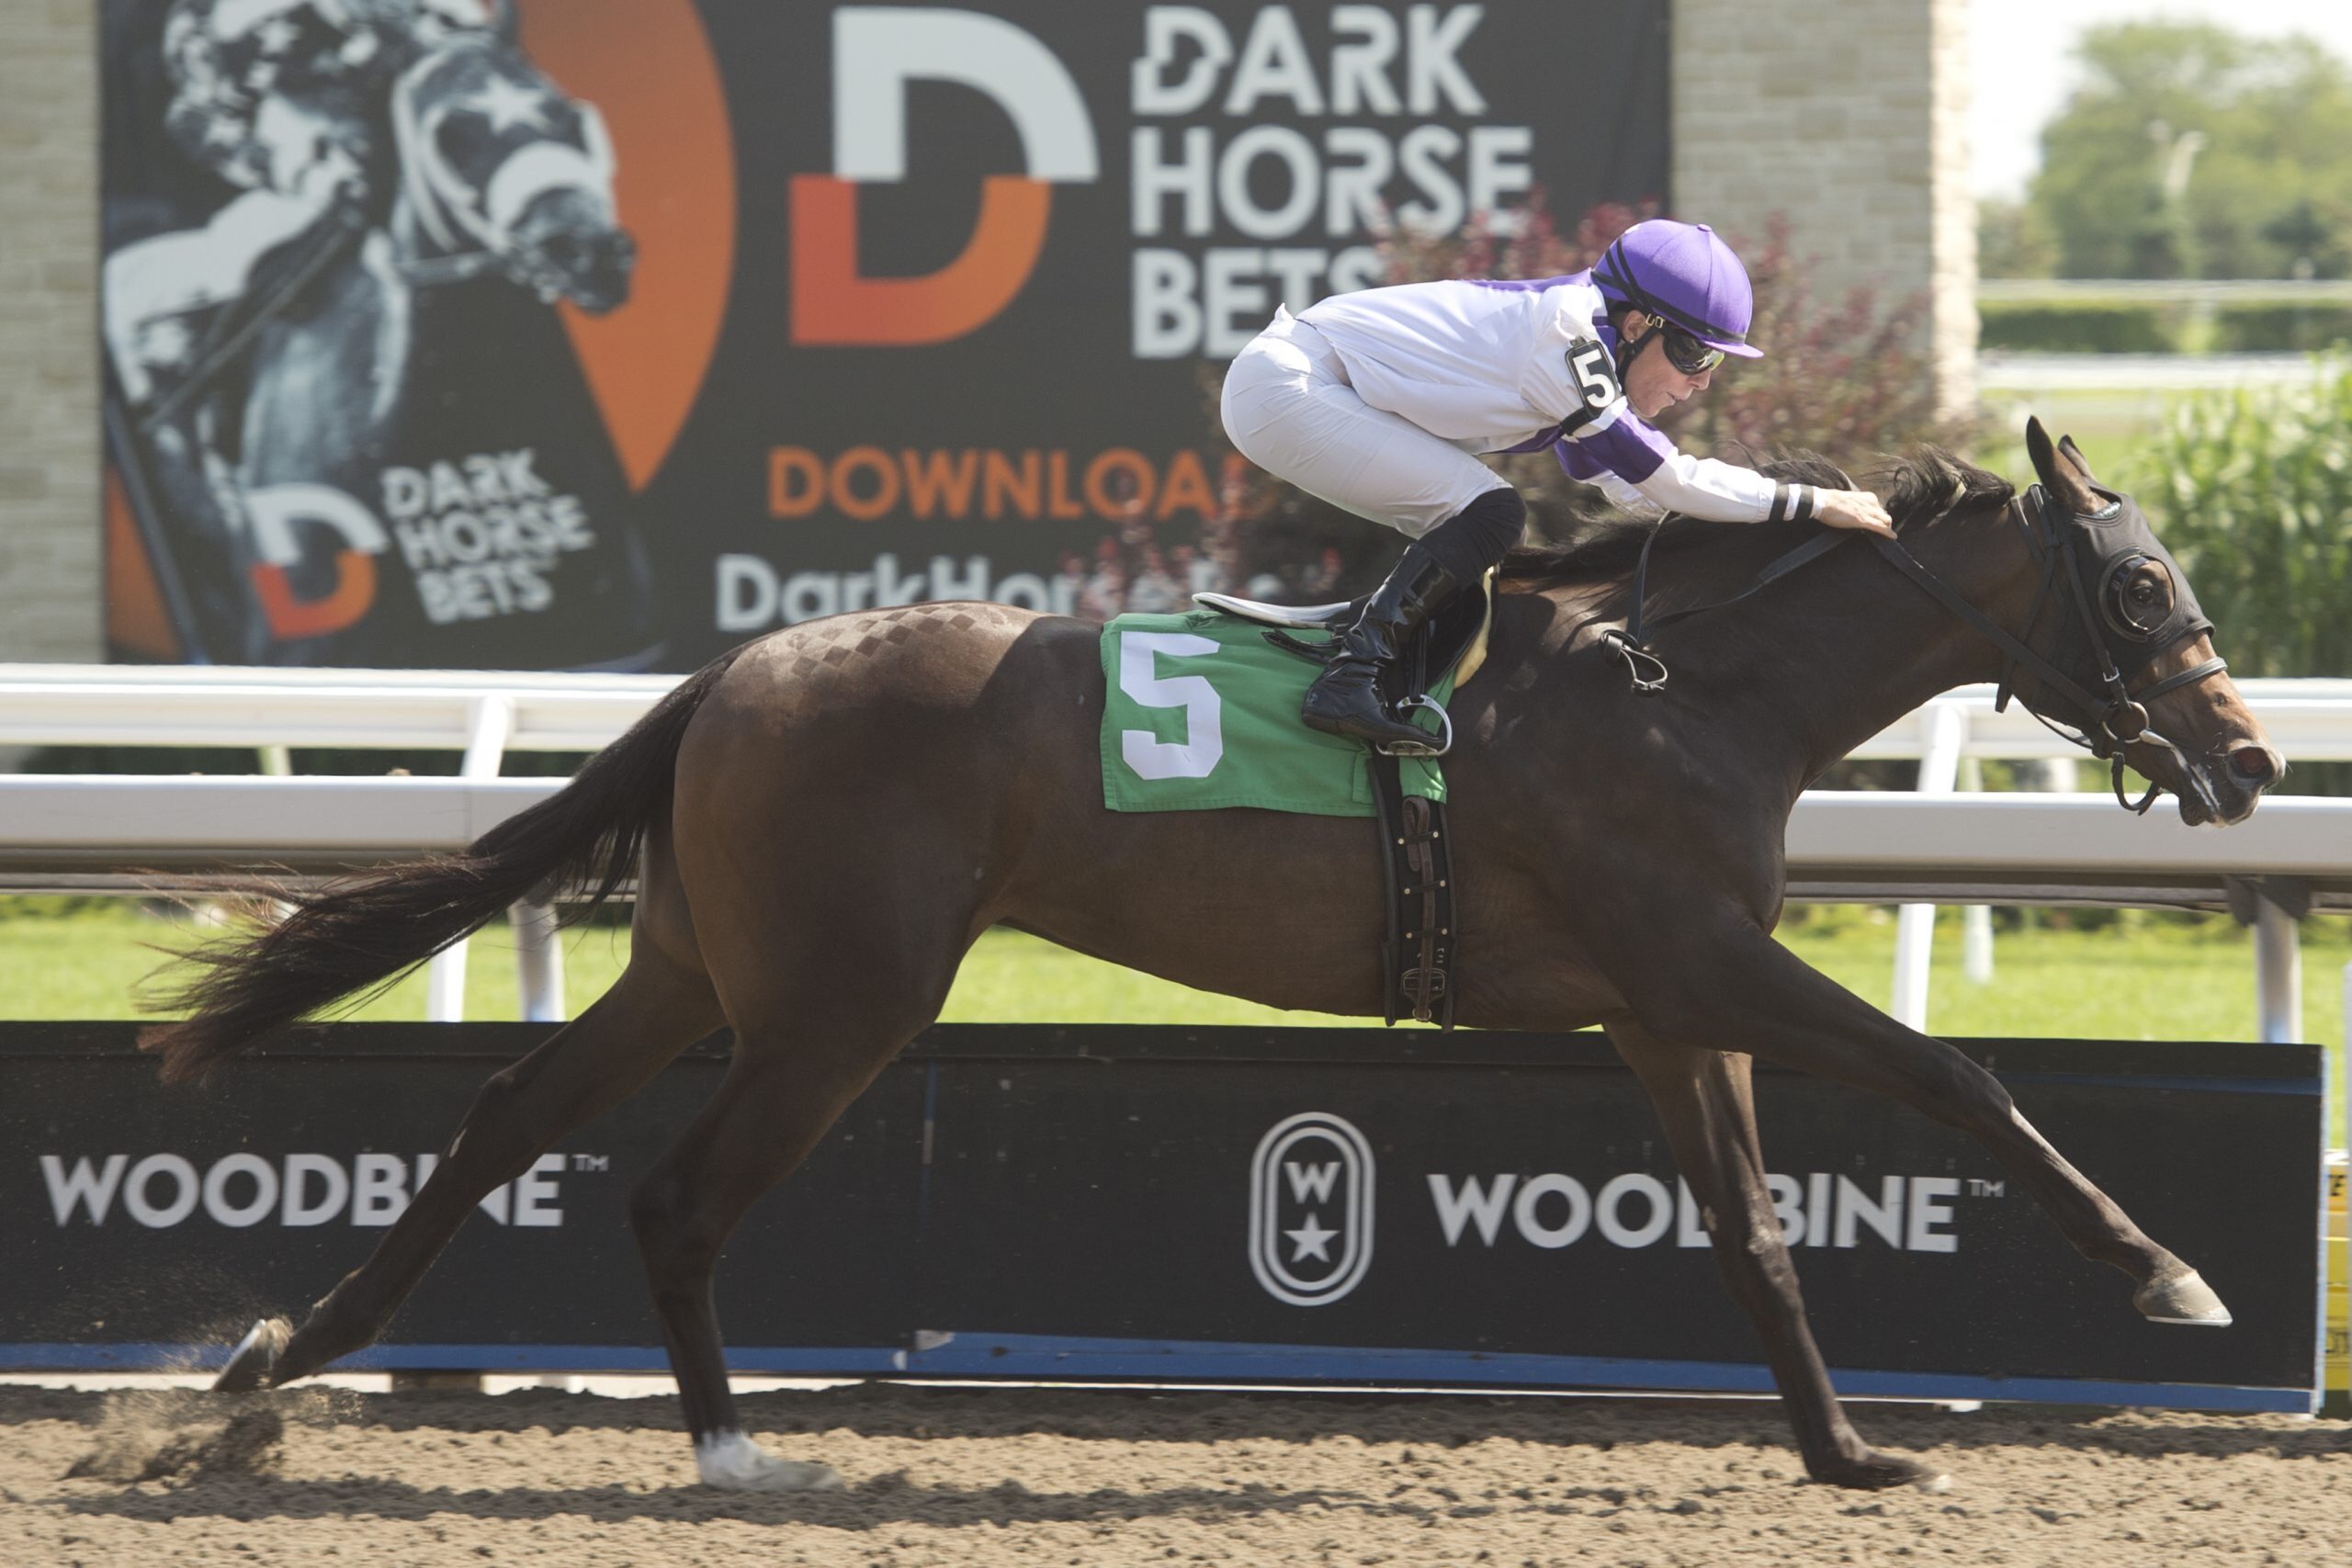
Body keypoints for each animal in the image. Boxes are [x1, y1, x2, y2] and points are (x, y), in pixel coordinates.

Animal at [141, 421, 2277, 1495]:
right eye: (2142, 584)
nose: (2250, 759)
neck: (1688, 687)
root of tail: (737, 668)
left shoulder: (1665, 1008)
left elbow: (1755, 1227)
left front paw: (1843, 1454)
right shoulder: (1701, 970)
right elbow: (1959, 1076)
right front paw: (2168, 1273)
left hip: (701, 963)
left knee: (511, 1109)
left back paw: (264, 1369)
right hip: (841, 999)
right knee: (671, 1189)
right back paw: (735, 1446)